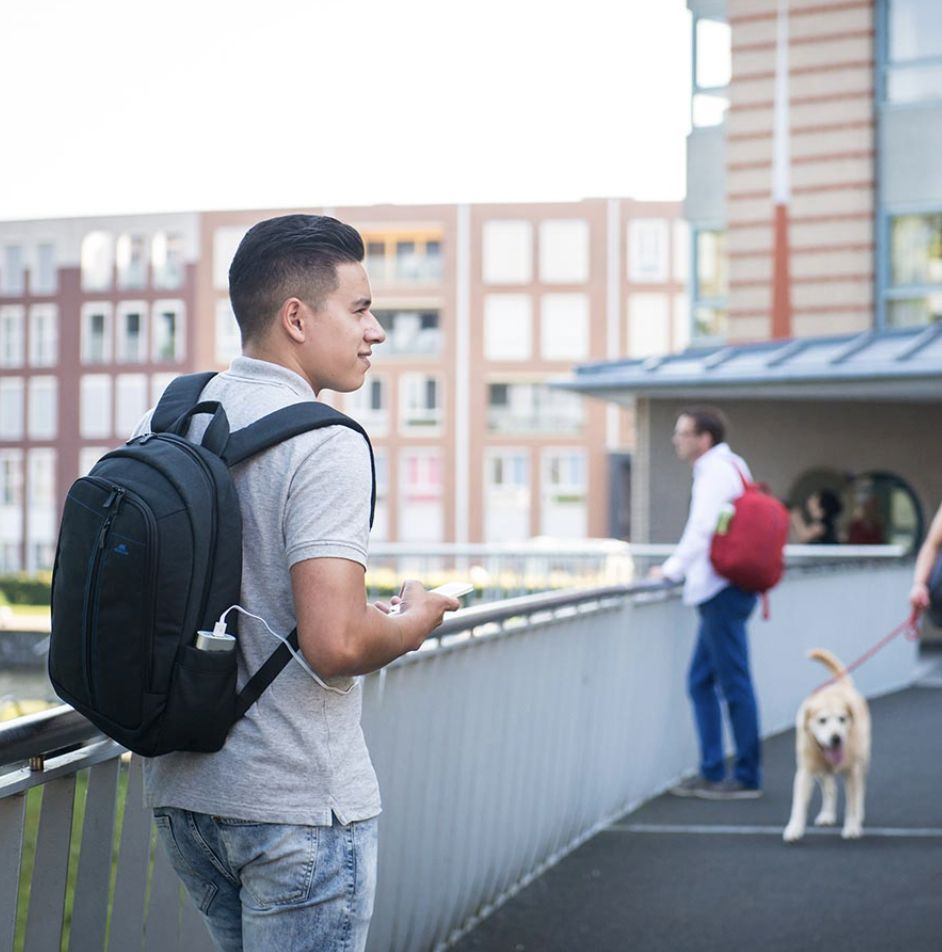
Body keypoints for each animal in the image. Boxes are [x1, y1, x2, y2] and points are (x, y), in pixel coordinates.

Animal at [784, 648, 872, 840]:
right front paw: (794, 829)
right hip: (821, 771)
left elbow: (851, 805)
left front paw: (852, 827)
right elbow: (798, 806)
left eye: (842, 719)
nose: (836, 738)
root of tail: (841, 685)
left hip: (862, 761)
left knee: (860, 790)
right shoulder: (805, 772)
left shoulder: (852, 771)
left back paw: (859, 815)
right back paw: (827, 815)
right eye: (822, 720)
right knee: (830, 789)